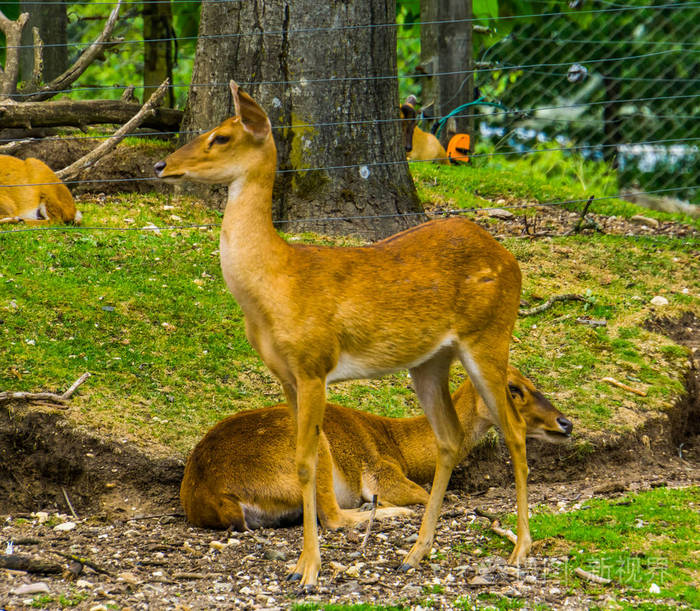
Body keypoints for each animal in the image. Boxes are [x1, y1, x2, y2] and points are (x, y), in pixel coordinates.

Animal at [154, 81, 524, 588]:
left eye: (222, 136)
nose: (161, 166)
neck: (277, 283)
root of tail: (512, 261)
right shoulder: (286, 375)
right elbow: (301, 462)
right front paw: (300, 566)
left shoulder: (315, 365)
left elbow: (308, 464)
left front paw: (308, 572)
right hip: (431, 359)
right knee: (449, 437)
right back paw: (414, 554)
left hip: (489, 336)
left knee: (514, 431)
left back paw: (518, 551)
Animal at [182, 366, 576, 532]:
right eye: (514, 387)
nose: (565, 423)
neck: (400, 446)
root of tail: (214, 494)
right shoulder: (381, 472)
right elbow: (433, 494)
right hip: (316, 454)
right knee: (333, 518)